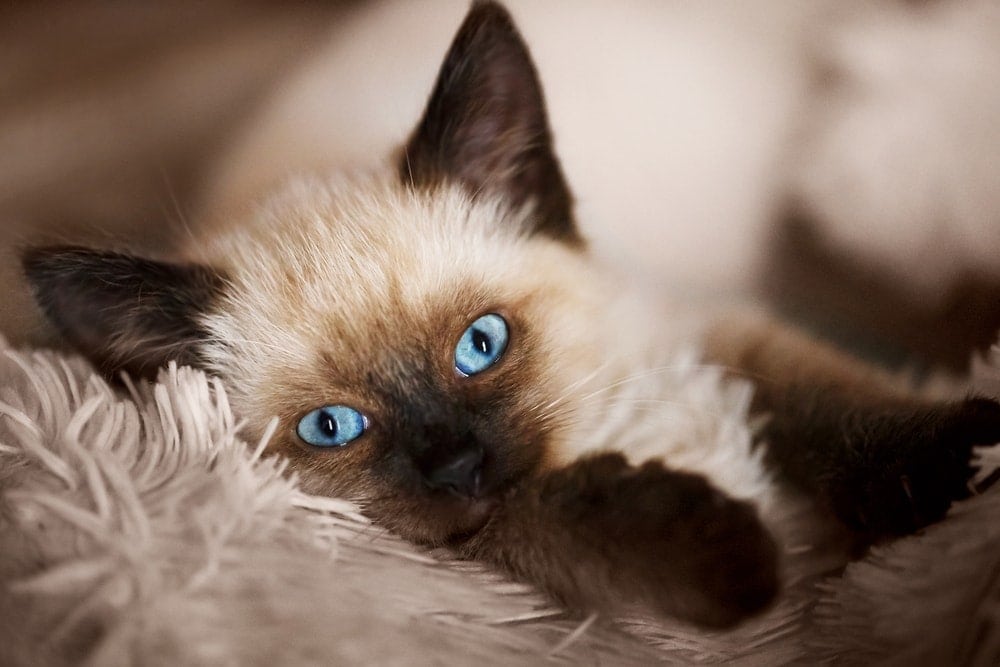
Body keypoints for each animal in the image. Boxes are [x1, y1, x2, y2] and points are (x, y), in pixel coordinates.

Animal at [19, 0, 1000, 628]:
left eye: (480, 344)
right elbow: (535, 517)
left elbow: (839, 408)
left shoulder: (705, 331)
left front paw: (963, 463)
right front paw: (728, 560)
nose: (457, 461)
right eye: (334, 427)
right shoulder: (460, 531)